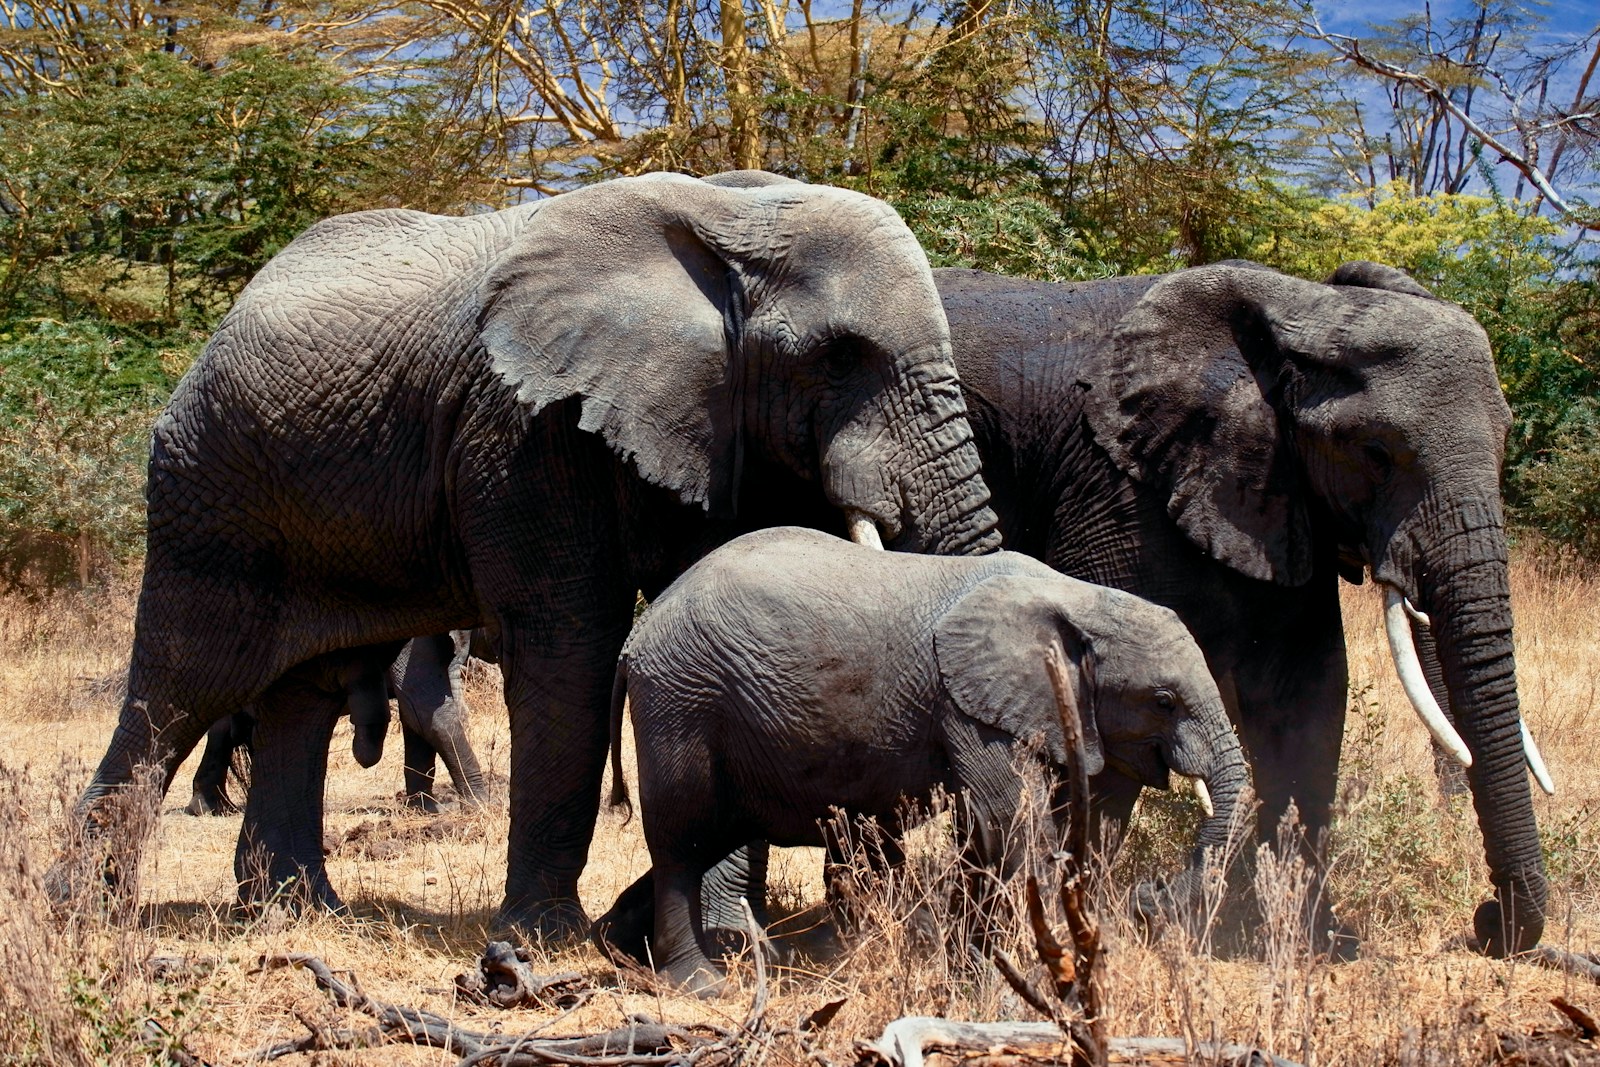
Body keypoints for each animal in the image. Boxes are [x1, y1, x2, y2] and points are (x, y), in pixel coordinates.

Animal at [184, 630, 490, 817]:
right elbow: (425, 709)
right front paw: (482, 804)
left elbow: (414, 716)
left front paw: (424, 809)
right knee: (223, 731)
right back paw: (211, 809)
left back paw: (214, 807)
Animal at [607, 527, 1248, 994]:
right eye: (1163, 701)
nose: (1154, 894)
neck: (1078, 598)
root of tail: (639, 633)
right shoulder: (969, 705)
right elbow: (1008, 822)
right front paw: (1031, 976)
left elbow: (1045, 827)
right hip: (680, 699)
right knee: (683, 840)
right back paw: (698, 984)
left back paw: (617, 942)